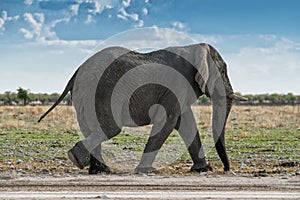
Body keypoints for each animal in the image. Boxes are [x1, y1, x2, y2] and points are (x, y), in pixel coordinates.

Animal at [38, 43, 247, 173]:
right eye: (223, 71)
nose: (227, 169)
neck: (194, 47)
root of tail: (77, 72)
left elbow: (186, 123)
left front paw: (203, 169)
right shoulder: (175, 84)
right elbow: (168, 121)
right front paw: (146, 170)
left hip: (86, 94)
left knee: (93, 128)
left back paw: (100, 170)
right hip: (102, 90)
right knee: (110, 128)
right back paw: (77, 159)